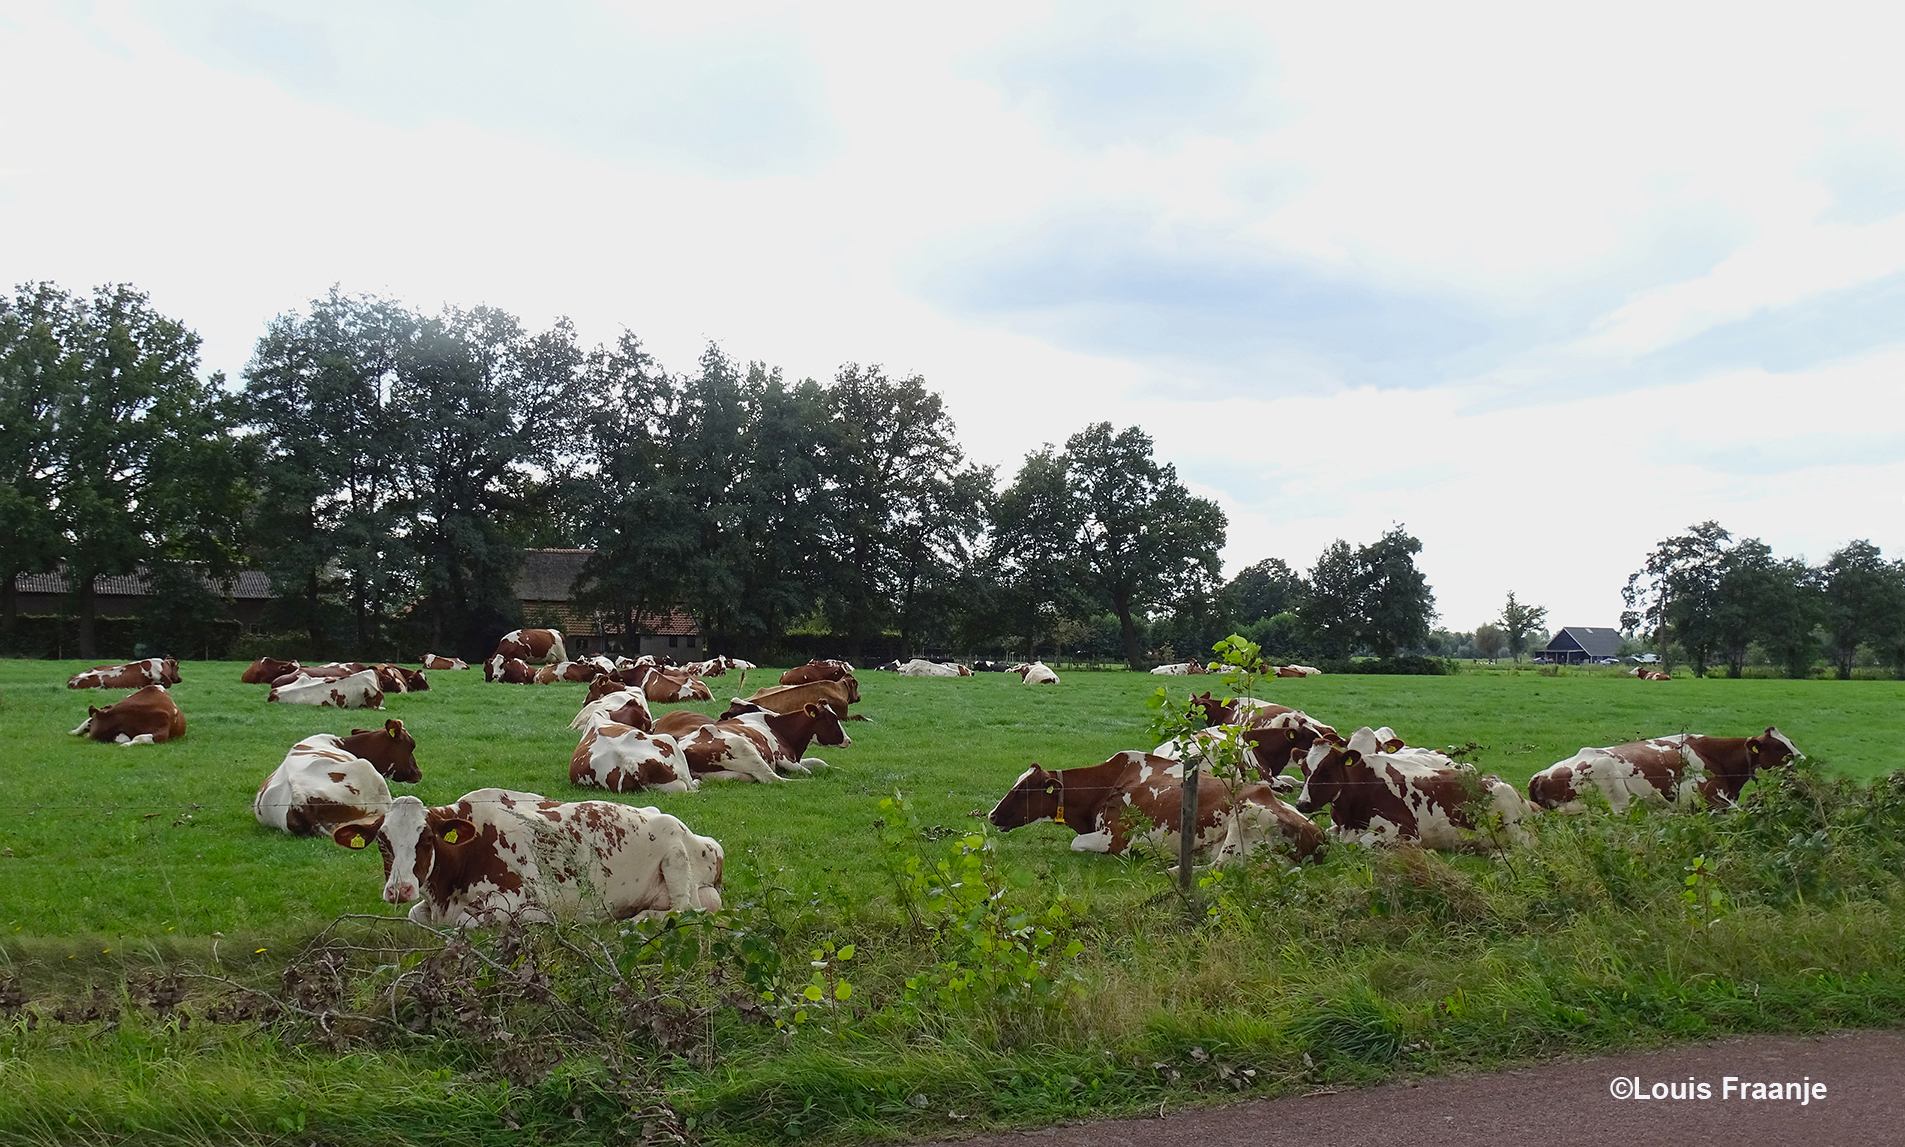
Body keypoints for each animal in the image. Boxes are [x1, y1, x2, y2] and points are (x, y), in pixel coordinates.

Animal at [331, 784, 723, 929]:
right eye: (382, 842)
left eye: (426, 838)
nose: (399, 889)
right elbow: (415, 916)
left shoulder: (524, 902)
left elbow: (467, 923)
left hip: (675, 855)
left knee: (687, 910)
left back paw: (635, 919)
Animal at [1295, 724, 1531, 849]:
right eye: (1304, 769)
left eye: (1326, 770)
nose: (1302, 804)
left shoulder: (1405, 830)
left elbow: (1365, 841)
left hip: (1515, 827)